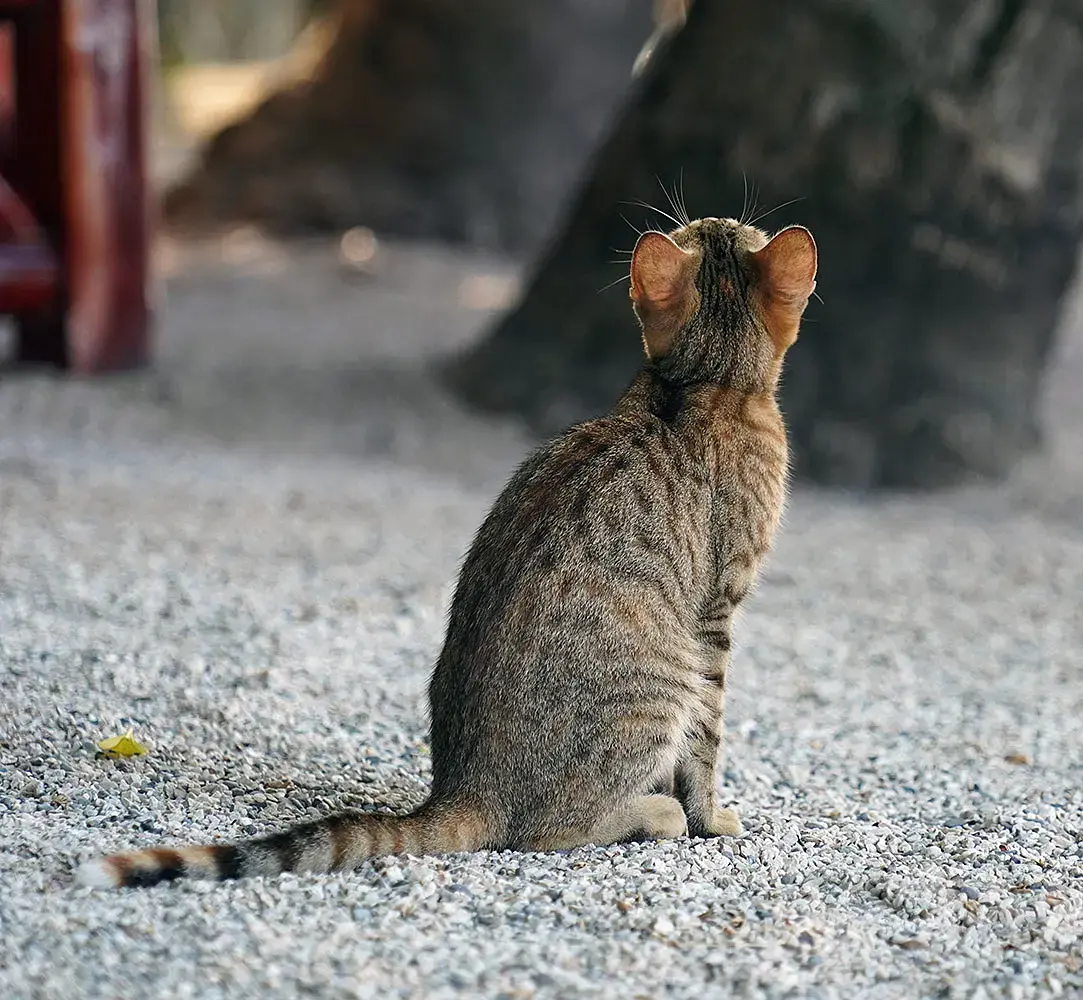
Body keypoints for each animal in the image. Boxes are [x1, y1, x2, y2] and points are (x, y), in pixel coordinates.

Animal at [76, 215, 816, 888]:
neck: (701, 382)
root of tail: (464, 788)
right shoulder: (717, 611)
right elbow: (708, 739)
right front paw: (709, 816)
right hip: (662, 682)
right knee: (545, 830)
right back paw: (656, 813)